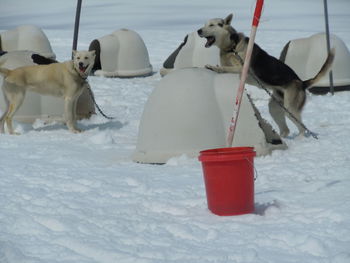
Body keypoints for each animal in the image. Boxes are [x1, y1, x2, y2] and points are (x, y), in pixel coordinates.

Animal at [198, 13, 334, 138]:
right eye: (204, 24)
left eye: (211, 25)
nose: (198, 30)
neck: (232, 47)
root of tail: (302, 82)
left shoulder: (242, 69)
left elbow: (224, 68)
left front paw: (213, 67)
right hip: (274, 108)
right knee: (286, 130)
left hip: (290, 109)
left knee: (302, 128)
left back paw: (300, 140)